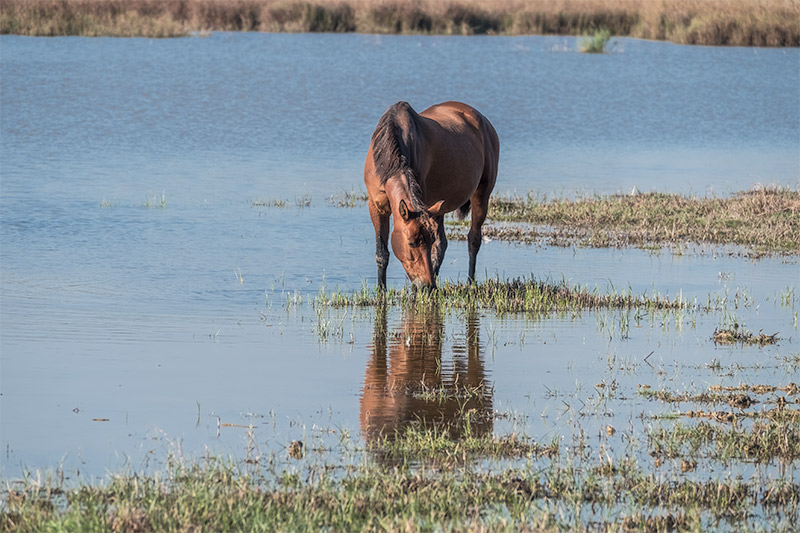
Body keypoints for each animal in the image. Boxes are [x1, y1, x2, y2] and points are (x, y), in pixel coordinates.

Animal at [364, 101, 500, 288]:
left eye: (427, 242)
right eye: (411, 242)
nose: (427, 285)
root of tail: (485, 122)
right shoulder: (377, 207)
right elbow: (382, 254)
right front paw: (381, 290)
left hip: (481, 196)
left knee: (473, 239)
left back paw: (470, 282)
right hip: (438, 208)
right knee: (443, 244)